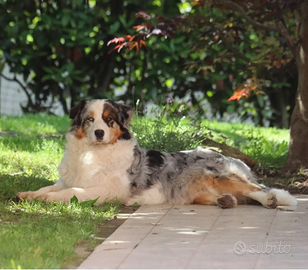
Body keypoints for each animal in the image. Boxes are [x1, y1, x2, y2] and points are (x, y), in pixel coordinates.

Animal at [16, 99, 296, 209]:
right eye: (89, 120)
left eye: (109, 121)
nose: (99, 132)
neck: (90, 153)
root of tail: (231, 158)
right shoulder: (67, 179)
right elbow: (50, 187)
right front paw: (29, 194)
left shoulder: (109, 190)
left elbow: (72, 192)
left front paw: (48, 200)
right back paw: (226, 201)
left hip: (216, 175)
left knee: (257, 189)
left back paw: (270, 200)